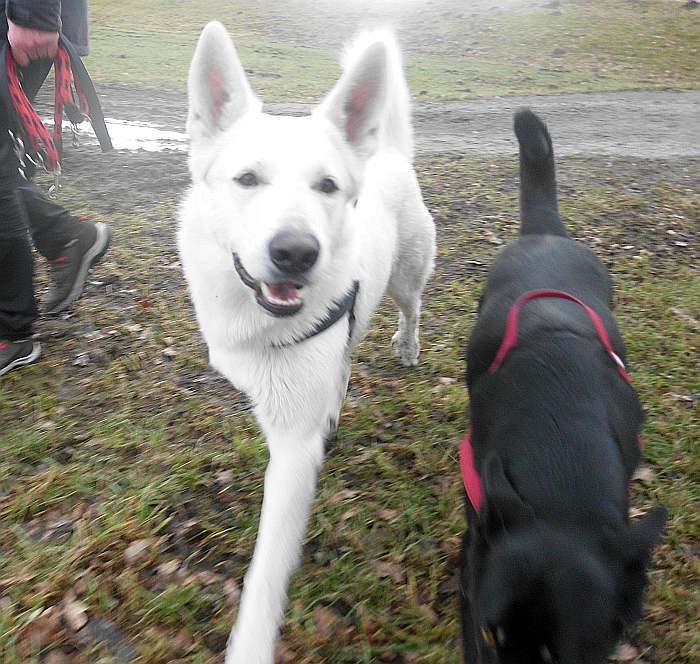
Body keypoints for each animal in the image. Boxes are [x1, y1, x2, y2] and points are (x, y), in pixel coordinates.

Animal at [178, 22, 434, 664]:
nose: (296, 252)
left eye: (327, 187)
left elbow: (267, 571)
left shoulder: (292, 452)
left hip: (406, 279)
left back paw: (407, 344)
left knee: (412, 308)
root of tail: (389, 154)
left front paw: (250, 642)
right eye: (247, 179)